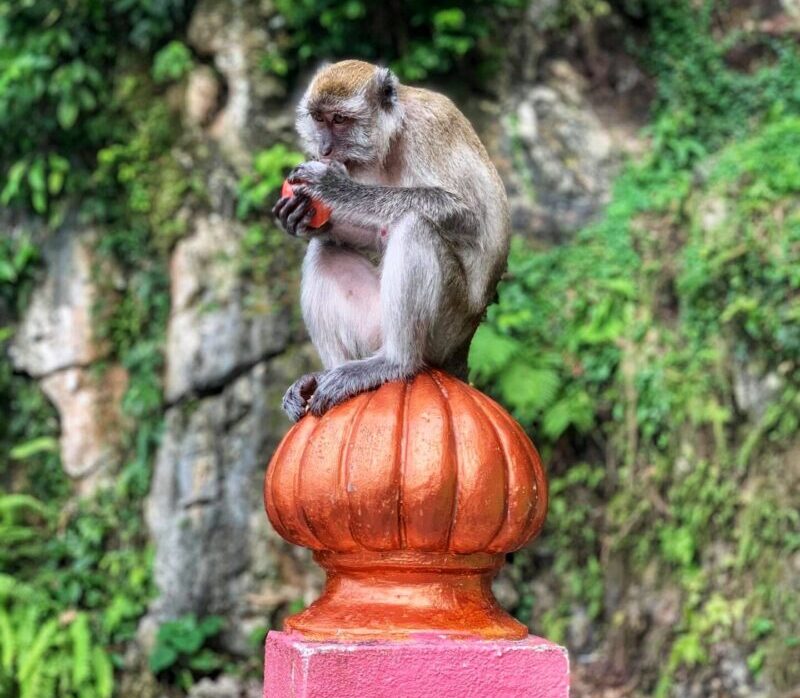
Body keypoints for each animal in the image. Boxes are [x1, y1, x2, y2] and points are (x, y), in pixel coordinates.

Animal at [272, 59, 510, 418]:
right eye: (319, 118)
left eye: (339, 119)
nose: (324, 149)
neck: (394, 136)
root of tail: (463, 347)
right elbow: (375, 233)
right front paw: (301, 219)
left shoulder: (428, 129)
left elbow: (468, 214)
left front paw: (336, 188)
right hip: (376, 326)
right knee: (324, 251)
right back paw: (328, 374)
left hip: (445, 329)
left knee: (415, 226)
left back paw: (396, 362)